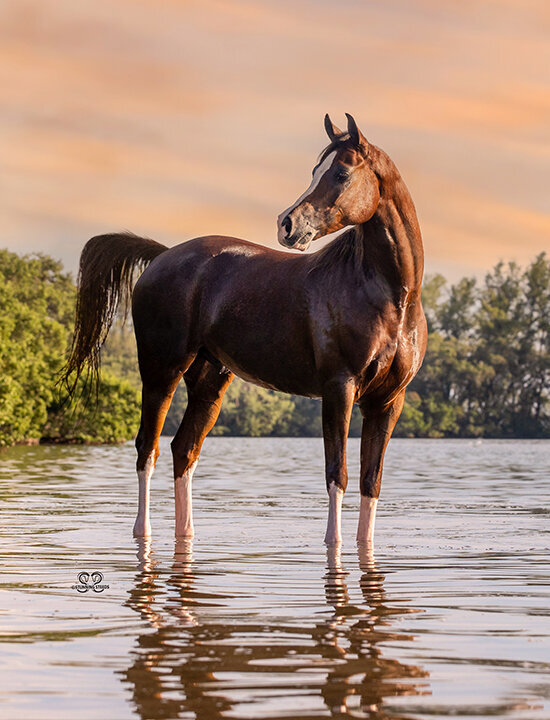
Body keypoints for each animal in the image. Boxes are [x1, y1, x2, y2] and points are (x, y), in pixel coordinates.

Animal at [63, 114, 426, 544]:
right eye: (316, 171)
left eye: (340, 173)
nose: (287, 225)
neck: (390, 299)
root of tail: (163, 256)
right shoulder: (340, 389)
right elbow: (337, 475)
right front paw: (332, 544)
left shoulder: (387, 402)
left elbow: (371, 482)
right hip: (161, 372)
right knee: (147, 449)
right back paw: (142, 531)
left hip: (209, 381)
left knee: (183, 450)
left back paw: (187, 533)